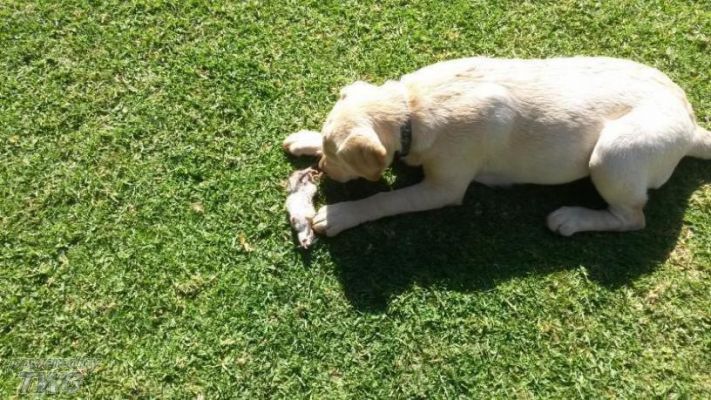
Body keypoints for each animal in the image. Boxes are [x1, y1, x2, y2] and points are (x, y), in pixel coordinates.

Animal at [283, 56, 710, 237]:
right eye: (327, 152)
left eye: (337, 159)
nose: (321, 168)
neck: (411, 109)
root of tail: (691, 126)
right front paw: (306, 138)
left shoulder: (443, 188)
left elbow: (385, 200)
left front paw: (341, 214)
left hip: (613, 154)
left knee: (632, 217)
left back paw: (573, 219)